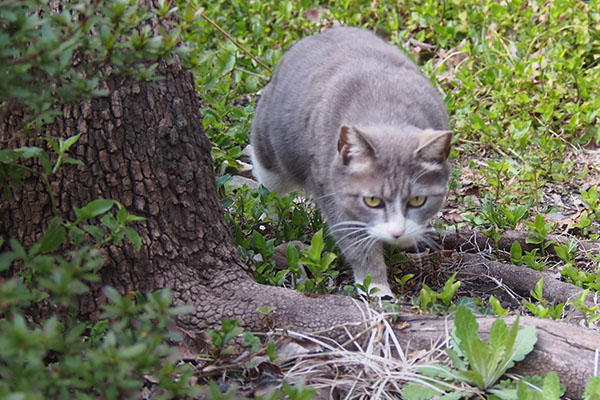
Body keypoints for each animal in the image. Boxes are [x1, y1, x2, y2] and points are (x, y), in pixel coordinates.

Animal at [248, 27, 450, 296]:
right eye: (372, 200)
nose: (397, 232)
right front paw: (376, 287)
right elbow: (356, 243)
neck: (387, 113)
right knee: (267, 182)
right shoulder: (334, 193)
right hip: (270, 142)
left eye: (418, 200)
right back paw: (268, 218)